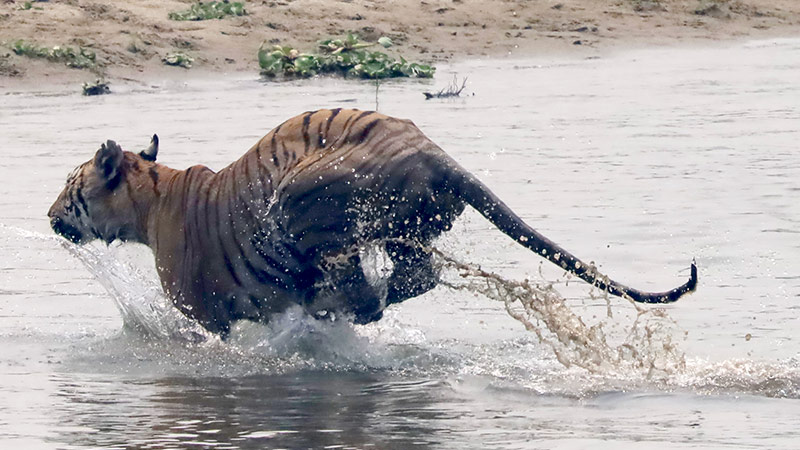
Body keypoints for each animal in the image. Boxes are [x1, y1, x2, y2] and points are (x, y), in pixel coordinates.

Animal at [47, 107, 696, 336]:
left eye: (69, 189)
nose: (49, 215)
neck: (150, 200)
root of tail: (431, 149)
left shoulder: (208, 313)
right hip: (411, 228)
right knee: (413, 276)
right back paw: (339, 307)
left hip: (301, 197)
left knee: (364, 284)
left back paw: (334, 307)